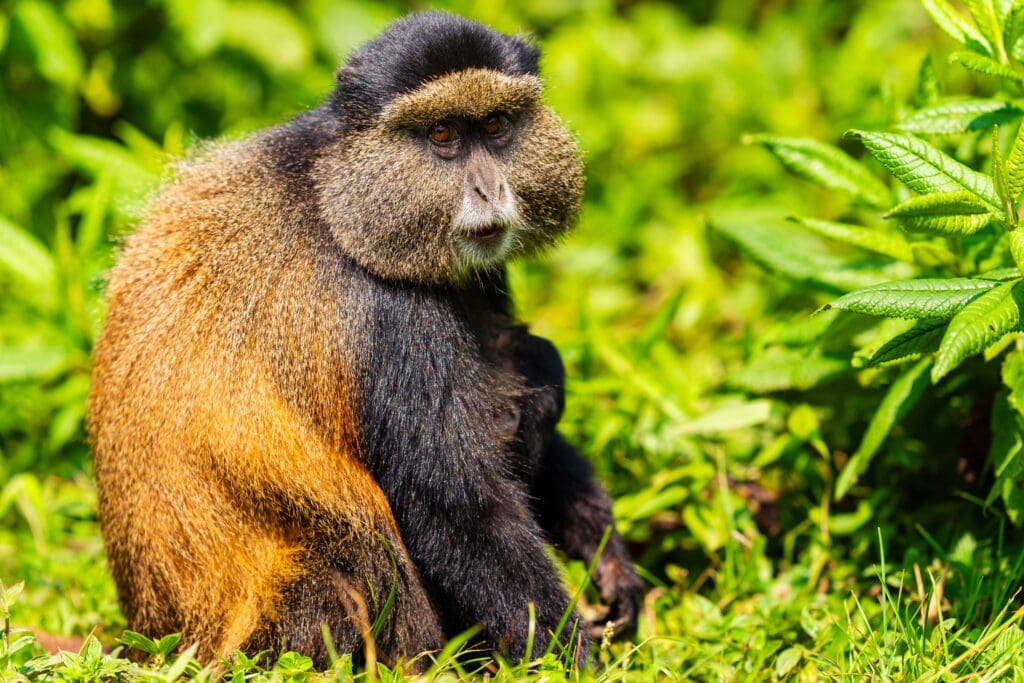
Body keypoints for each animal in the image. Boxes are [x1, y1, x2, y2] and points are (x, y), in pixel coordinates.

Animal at [88, 12, 643, 671]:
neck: (338, 193)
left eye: (495, 126)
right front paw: (574, 661)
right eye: (441, 134)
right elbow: (460, 508)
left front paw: (608, 558)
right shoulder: (393, 317)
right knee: (361, 557)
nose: (490, 191)